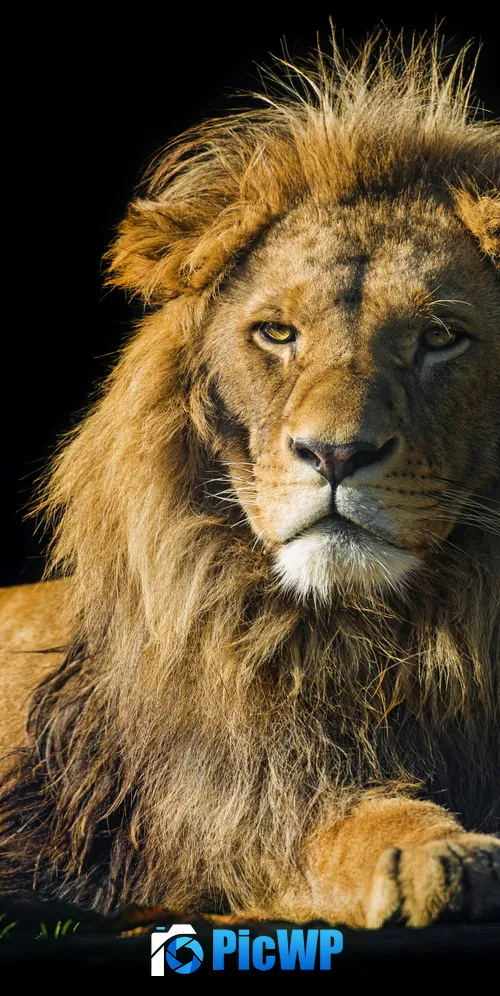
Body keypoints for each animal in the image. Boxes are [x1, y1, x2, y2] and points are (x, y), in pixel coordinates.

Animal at [0, 33, 499, 929]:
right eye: (276, 333)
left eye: (441, 337)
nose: (335, 455)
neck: (387, 635)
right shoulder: (229, 810)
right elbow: (340, 828)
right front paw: (430, 853)